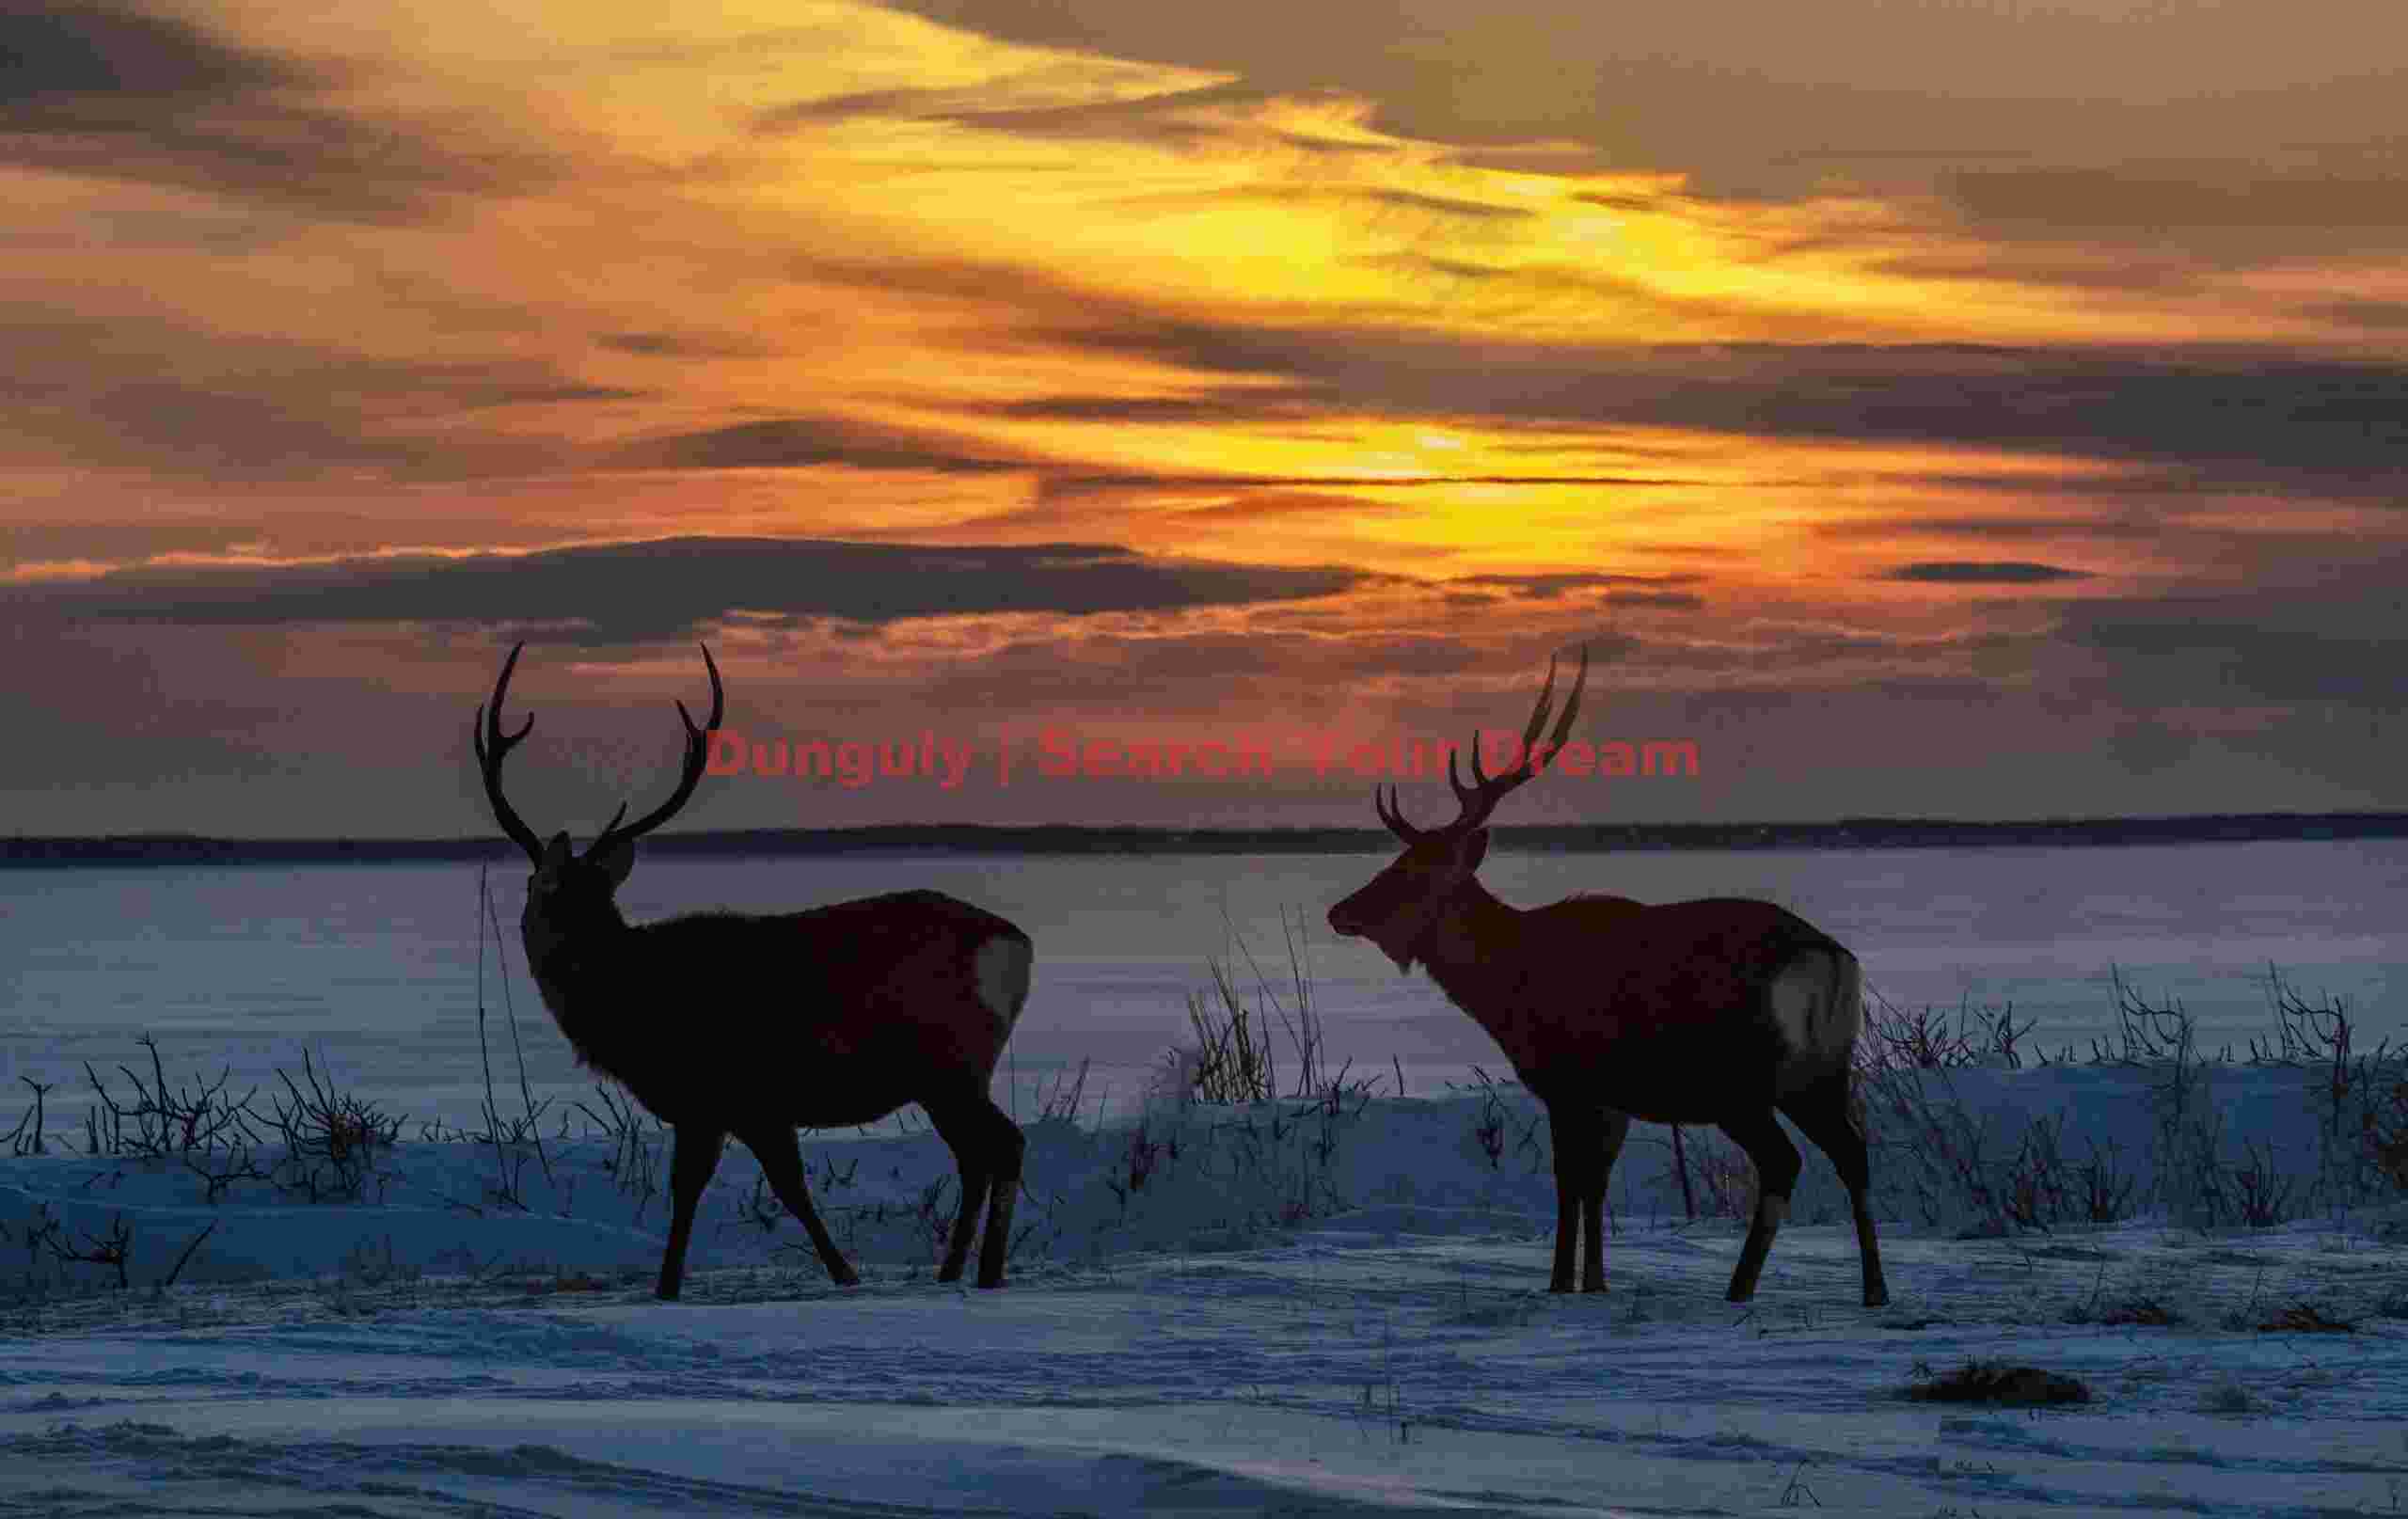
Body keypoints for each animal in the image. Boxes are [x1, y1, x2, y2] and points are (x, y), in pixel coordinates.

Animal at [473, 642, 1034, 1296]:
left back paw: (988, 1273)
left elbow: (738, 1190)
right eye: (546, 891)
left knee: (1005, 1144)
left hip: (952, 1060)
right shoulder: (733, 1105)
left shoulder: (729, 1092)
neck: (639, 1009)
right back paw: (951, 1271)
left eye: (592, 898)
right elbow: (745, 1189)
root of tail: (1016, 946)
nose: (569, 955)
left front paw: (681, 1285)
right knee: (975, 1156)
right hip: (944, 1076)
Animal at [1326, 647, 1888, 1307]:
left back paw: (1741, 1286)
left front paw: (1559, 1284)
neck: (1507, 987)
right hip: (1823, 1070)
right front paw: (1595, 1281)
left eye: (1410, 872)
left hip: (1739, 1077)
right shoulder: (1611, 1095)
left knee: (1785, 1161)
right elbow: (1597, 1184)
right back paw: (1873, 1289)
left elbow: (1569, 1181)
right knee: (1853, 1152)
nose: (1341, 912)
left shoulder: (1568, 1079)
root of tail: (1828, 962)